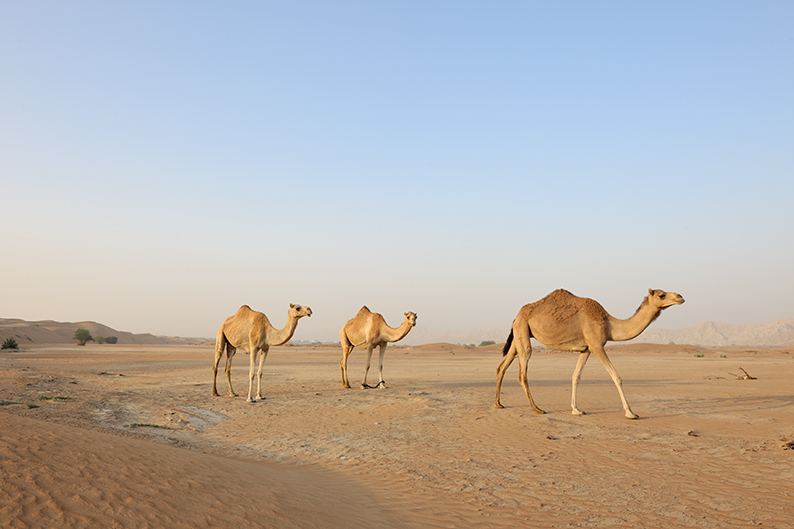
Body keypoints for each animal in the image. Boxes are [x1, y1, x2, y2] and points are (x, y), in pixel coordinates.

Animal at [492, 288, 684, 416]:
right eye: (661, 295)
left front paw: (576, 409)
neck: (608, 323)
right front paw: (631, 413)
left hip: (519, 333)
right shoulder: (597, 345)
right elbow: (616, 377)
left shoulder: (586, 349)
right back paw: (537, 409)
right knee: (522, 373)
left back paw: (498, 404)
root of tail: (516, 316)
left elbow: (575, 377)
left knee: (502, 366)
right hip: (523, 330)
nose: (680, 296)